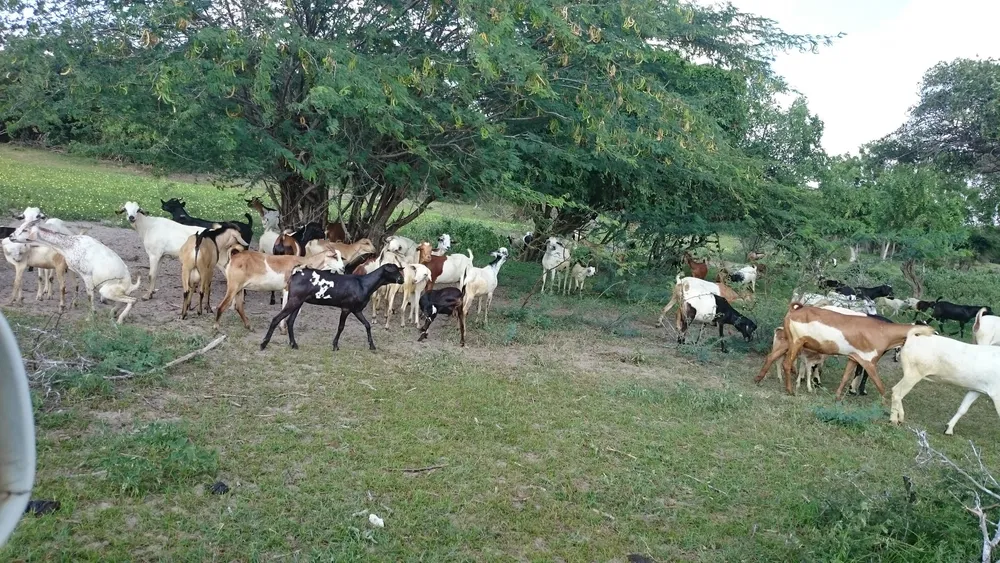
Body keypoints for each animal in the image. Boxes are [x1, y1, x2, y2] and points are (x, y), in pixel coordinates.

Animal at [11, 220, 140, 323]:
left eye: (25, 230)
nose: (11, 236)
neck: (70, 245)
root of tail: (131, 284)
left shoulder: (87, 274)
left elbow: (89, 296)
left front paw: (90, 316)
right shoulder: (72, 269)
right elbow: (75, 285)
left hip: (106, 290)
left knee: (133, 300)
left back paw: (120, 320)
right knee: (125, 300)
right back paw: (113, 313)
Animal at [214, 248, 344, 330]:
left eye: (340, 257)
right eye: (334, 256)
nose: (343, 268)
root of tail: (234, 256)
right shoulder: (287, 290)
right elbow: (284, 307)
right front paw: (283, 329)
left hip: (240, 288)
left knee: (239, 306)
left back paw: (249, 326)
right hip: (233, 286)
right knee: (222, 305)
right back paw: (216, 327)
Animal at [260, 264, 404, 351]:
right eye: (395, 270)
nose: (402, 280)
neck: (363, 284)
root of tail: (295, 275)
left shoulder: (356, 310)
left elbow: (367, 325)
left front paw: (372, 346)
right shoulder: (346, 308)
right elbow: (341, 327)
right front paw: (335, 345)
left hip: (298, 301)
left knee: (290, 321)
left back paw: (294, 344)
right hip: (294, 300)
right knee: (276, 318)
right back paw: (263, 344)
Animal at [754, 304, 920, 398]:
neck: (883, 330)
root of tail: (795, 310)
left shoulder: (853, 358)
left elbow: (846, 376)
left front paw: (839, 396)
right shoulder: (868, 362)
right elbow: (879, 384)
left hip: (789, 343)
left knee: (771, 356)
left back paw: (758, 379)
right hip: (796, 343)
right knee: (786, 364)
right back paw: (789, 390)